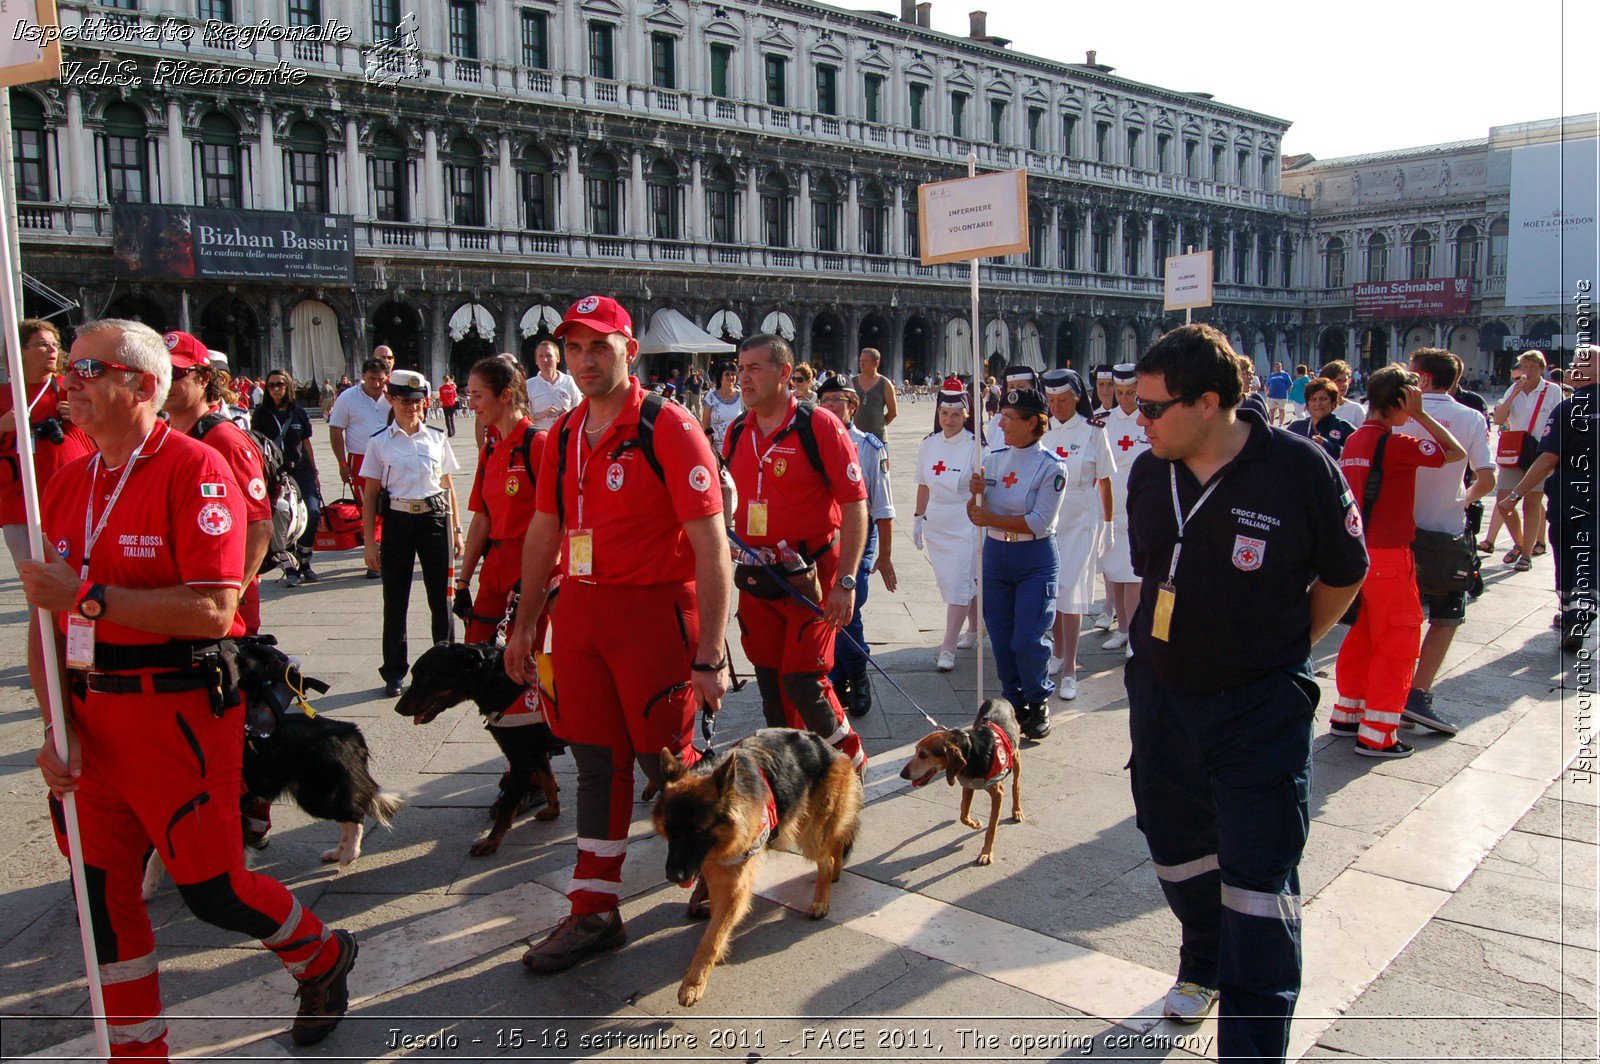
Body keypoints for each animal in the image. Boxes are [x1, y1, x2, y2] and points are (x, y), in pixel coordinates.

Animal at [395, 640, 566, 857]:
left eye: (426, 676)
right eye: (414, 675)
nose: (398, 708)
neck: (497, 682)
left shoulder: (522, 758)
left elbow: (507, 807)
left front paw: (490, 842)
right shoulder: (535, 752)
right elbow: (548, 781)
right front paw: (553, 810)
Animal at [649, 726, 864, 1011]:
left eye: (696, 831)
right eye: (670, 830)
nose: (674, 876)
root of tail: (833, 750)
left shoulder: (735, 884)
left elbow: (710, 938)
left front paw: (694, 982)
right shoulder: (715, 871)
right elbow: (716, 919)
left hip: (808, 834)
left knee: (826, 859)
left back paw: (821, 901)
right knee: (836, 844)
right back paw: (836, 872)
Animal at [902, 697, 1024, 864]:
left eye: (923, 755)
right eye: (915, 750)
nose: (902, 774)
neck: (971, 753)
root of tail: (999, 698)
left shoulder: (998, 793)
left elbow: (991, 828)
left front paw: (986, 853)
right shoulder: (968, 785)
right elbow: (963, 814)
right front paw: (975, 824)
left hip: (1016, 756)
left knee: (1016, 785)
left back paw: (1017, 811)